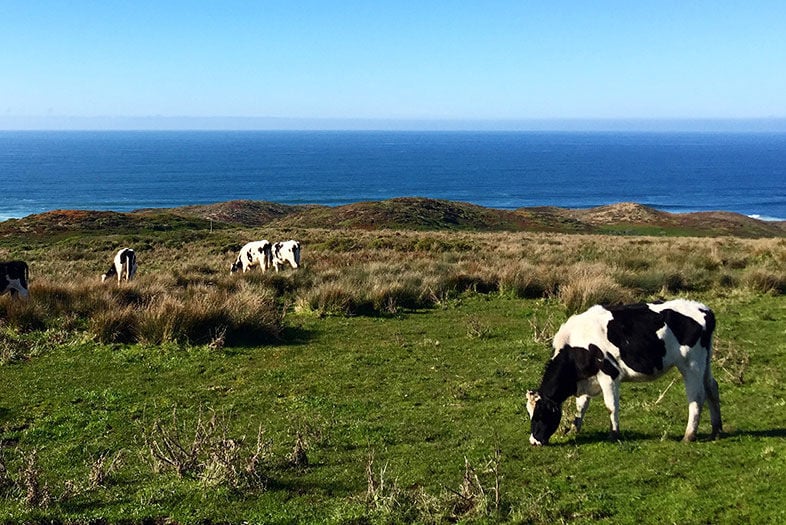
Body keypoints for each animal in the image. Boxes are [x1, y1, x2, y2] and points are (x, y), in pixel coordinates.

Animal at [524, 300, 720, 444]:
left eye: (540, 414)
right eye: (529, 413)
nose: (534, 441)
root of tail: (704, 309)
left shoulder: (609, 374)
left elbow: (611, 406)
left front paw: (614, 434)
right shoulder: (586, 378)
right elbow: (582, 405)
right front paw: (574, 429)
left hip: (691, 364)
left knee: (696, 396)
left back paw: (689, 436)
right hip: (705, 362)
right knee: (712, 387)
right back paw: (716, 431)